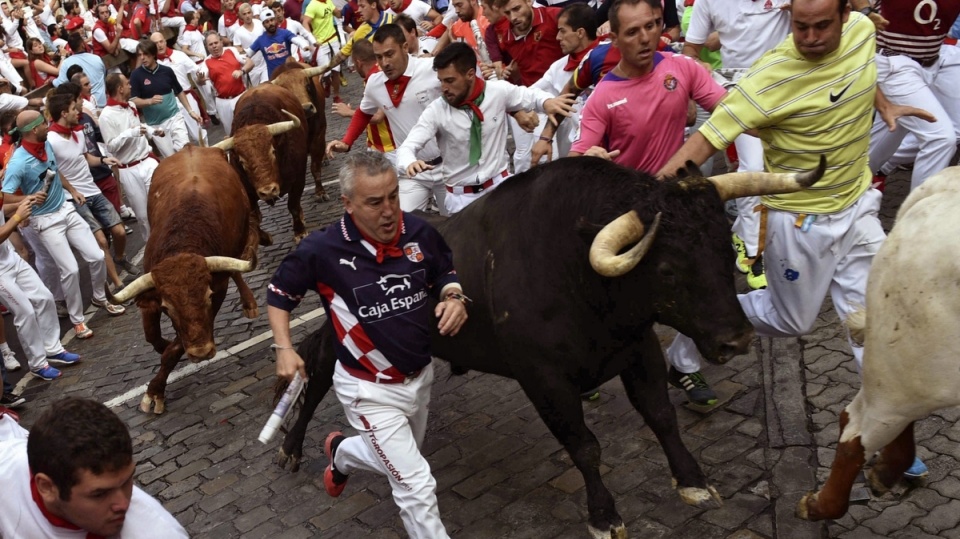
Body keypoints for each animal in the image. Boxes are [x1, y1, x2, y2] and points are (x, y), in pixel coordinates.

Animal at [109, 146, 260, 416]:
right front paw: (163, 346)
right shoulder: (150, 297)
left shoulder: (218, 290)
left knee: (235, 268)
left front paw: (154, 391)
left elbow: (174, 350)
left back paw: (249, 303)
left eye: (207, 297)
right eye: (167, 308)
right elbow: (153, 337)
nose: (202, 352)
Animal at [216, 84, 310, 243]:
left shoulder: (298, 179)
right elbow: (252, 219)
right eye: (242, 162)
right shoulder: (247, 192)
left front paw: (300, 232)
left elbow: (293, 206)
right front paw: (266, 238)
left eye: (272, 151)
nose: (268, 191)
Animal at [270, 59, 330, 202]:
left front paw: (320, 192)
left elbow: (315, 167)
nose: (306, 108)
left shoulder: (318, 134)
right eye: (287, 93)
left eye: (307, 85)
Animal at [272, 155, 824, 536]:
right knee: (315, 369)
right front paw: (604, 515)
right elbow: (585, 446)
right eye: (667, 269)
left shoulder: (638, 347)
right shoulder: (545, 381)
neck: (576, 270)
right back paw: (292, 446)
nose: (737, 339)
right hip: (338, 340)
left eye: (723, 247)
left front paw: (692, 480)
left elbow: (661, 415)